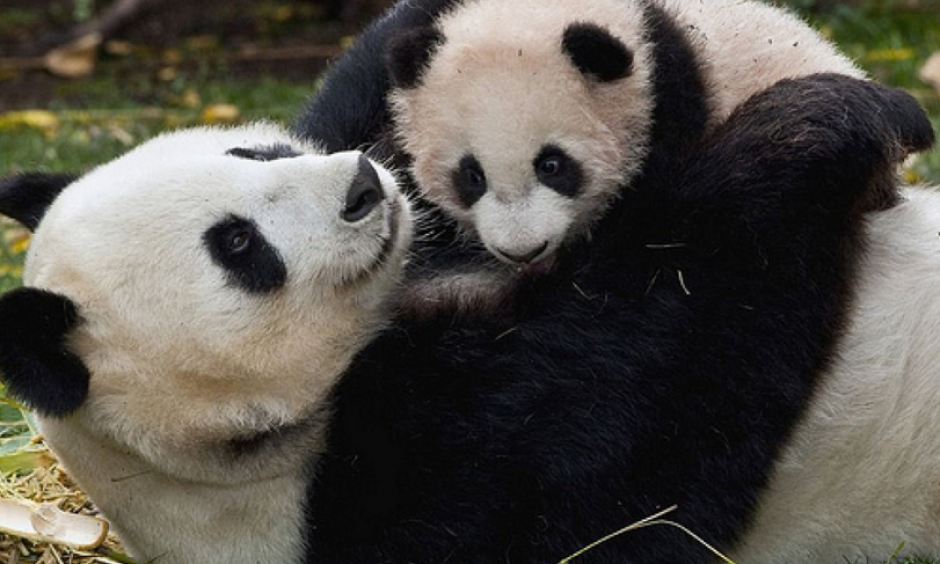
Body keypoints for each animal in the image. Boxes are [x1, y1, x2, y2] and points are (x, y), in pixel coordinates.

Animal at [0, 76, 928, 564]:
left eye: (257, 151)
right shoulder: (413, 494)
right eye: (238, 246)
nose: (364, 185)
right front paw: (816, 127)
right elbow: (657, 393)